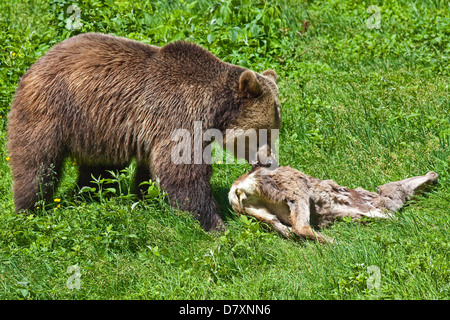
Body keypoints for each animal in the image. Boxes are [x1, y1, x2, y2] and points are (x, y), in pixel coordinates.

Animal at [7, 32, 280, 231]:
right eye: (263, 132)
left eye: (276, 131)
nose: (269, 162)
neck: (214, 110)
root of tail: (36, 62)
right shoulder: (179, 117)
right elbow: (183, 173)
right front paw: (215, 224)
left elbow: (151, 168)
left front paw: (144, 197)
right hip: (52, 110)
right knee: (37, 163)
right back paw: (30, 209)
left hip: (97, 131)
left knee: (99, 169)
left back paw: (86, 195)